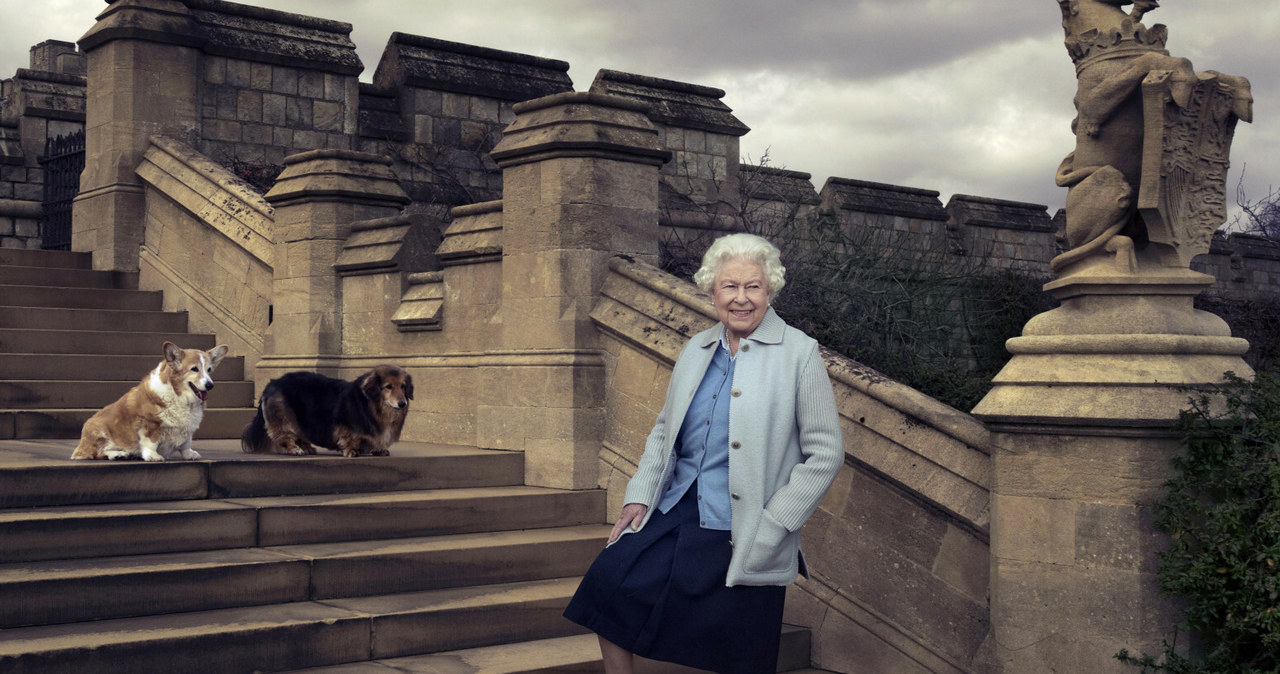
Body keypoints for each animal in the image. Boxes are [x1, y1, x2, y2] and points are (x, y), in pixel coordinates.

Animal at [71, 342, 230, 465]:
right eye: (194, 369)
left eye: (209, 370)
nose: (210, 385)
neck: (179, 396)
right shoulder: (149, 423)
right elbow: (151, 441)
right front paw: (152, 456)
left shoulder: (188, 426)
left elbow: (186, 442)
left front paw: (189, 454)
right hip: (100, 431)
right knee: (98, 452)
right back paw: (118, 454)